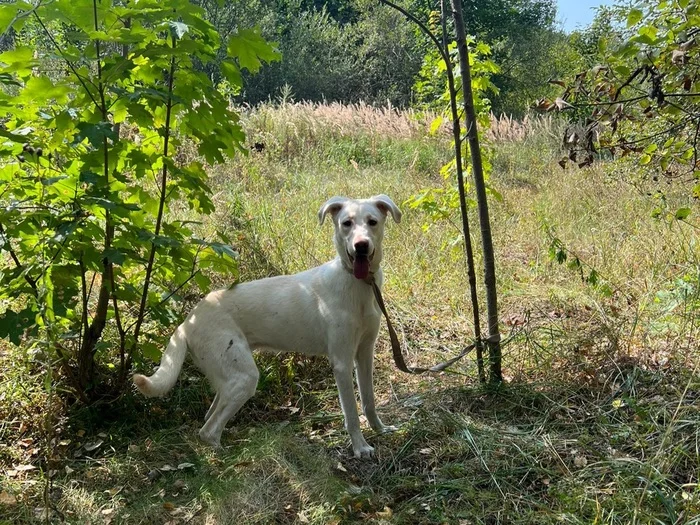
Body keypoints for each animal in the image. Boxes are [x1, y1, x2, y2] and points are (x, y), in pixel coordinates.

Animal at [134, 194, 402, 456]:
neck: (358, 285)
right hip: (244, 377)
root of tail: (187, 322)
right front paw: (360, 447)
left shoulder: (364, 353)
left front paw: (380, 430)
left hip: (229, 377)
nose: (361, 246)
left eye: (372, 222)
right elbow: (351, 413)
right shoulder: (342, 362)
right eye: (347, 223)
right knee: (208, 431)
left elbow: (368, 401)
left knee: (209, 417)